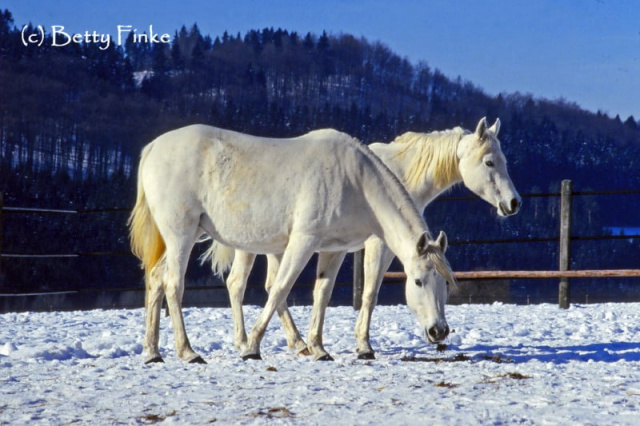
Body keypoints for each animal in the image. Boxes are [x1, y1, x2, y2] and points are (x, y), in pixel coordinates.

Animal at [129, 123, 456, 362]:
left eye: (445, 283)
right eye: (417, 281)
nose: (439, 331)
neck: (354, 179)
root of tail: (154, 147)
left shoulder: (334, 250)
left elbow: (321, 294)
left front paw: (318, 348)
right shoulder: (303, 241)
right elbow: (279, 289)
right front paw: (252, 348)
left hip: (185, 235)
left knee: (156, 279)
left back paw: (153, 352)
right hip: (180, 235)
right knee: (173, 284)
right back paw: (188, 352)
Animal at [205, 116, 520, 360]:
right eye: (489, 162)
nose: (513, 203)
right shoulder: (378, 244)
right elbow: (369, 293)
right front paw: (364, 346)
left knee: (269, 286)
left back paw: (297, 343)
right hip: (252, 246)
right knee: (240, 284)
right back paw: (246, 342)